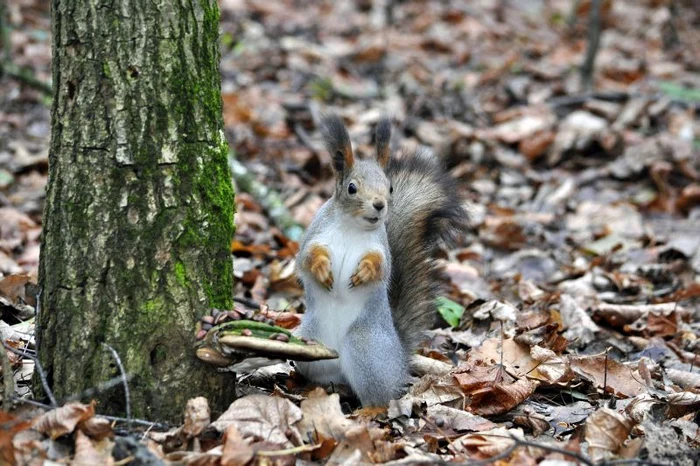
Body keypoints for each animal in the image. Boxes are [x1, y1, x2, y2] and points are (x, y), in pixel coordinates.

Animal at [292, 114, 468, 406]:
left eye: (390, 187)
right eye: (352, 188)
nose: (379, 204)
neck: (352, 227)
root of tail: (398, 360)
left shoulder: (381, 248)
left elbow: (382, 268)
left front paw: (364, 272)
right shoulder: (314, 235)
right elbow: (305, 259)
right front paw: (321, 268)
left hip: (365, 349)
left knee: (380, 398)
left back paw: (369, 409)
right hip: (309, 344)